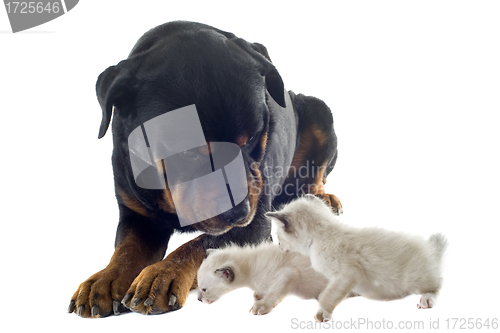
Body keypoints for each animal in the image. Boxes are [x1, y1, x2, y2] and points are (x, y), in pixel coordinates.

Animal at [197, 241, 358, 314]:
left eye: (204, 289)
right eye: (198, 288)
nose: (198, 299)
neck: (250, 266)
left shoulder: (289, 274)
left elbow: (274, 293)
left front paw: (261, 306)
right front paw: (259, 296)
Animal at [268, 195, 448, 322]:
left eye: (278, 236)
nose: (279, 247)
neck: (322, 235)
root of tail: (432, 250)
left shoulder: (347, 274)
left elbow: (329, 294)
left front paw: (322, 314)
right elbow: (330, 292)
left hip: (414, 277)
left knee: (436, 285)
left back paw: (426, 299)